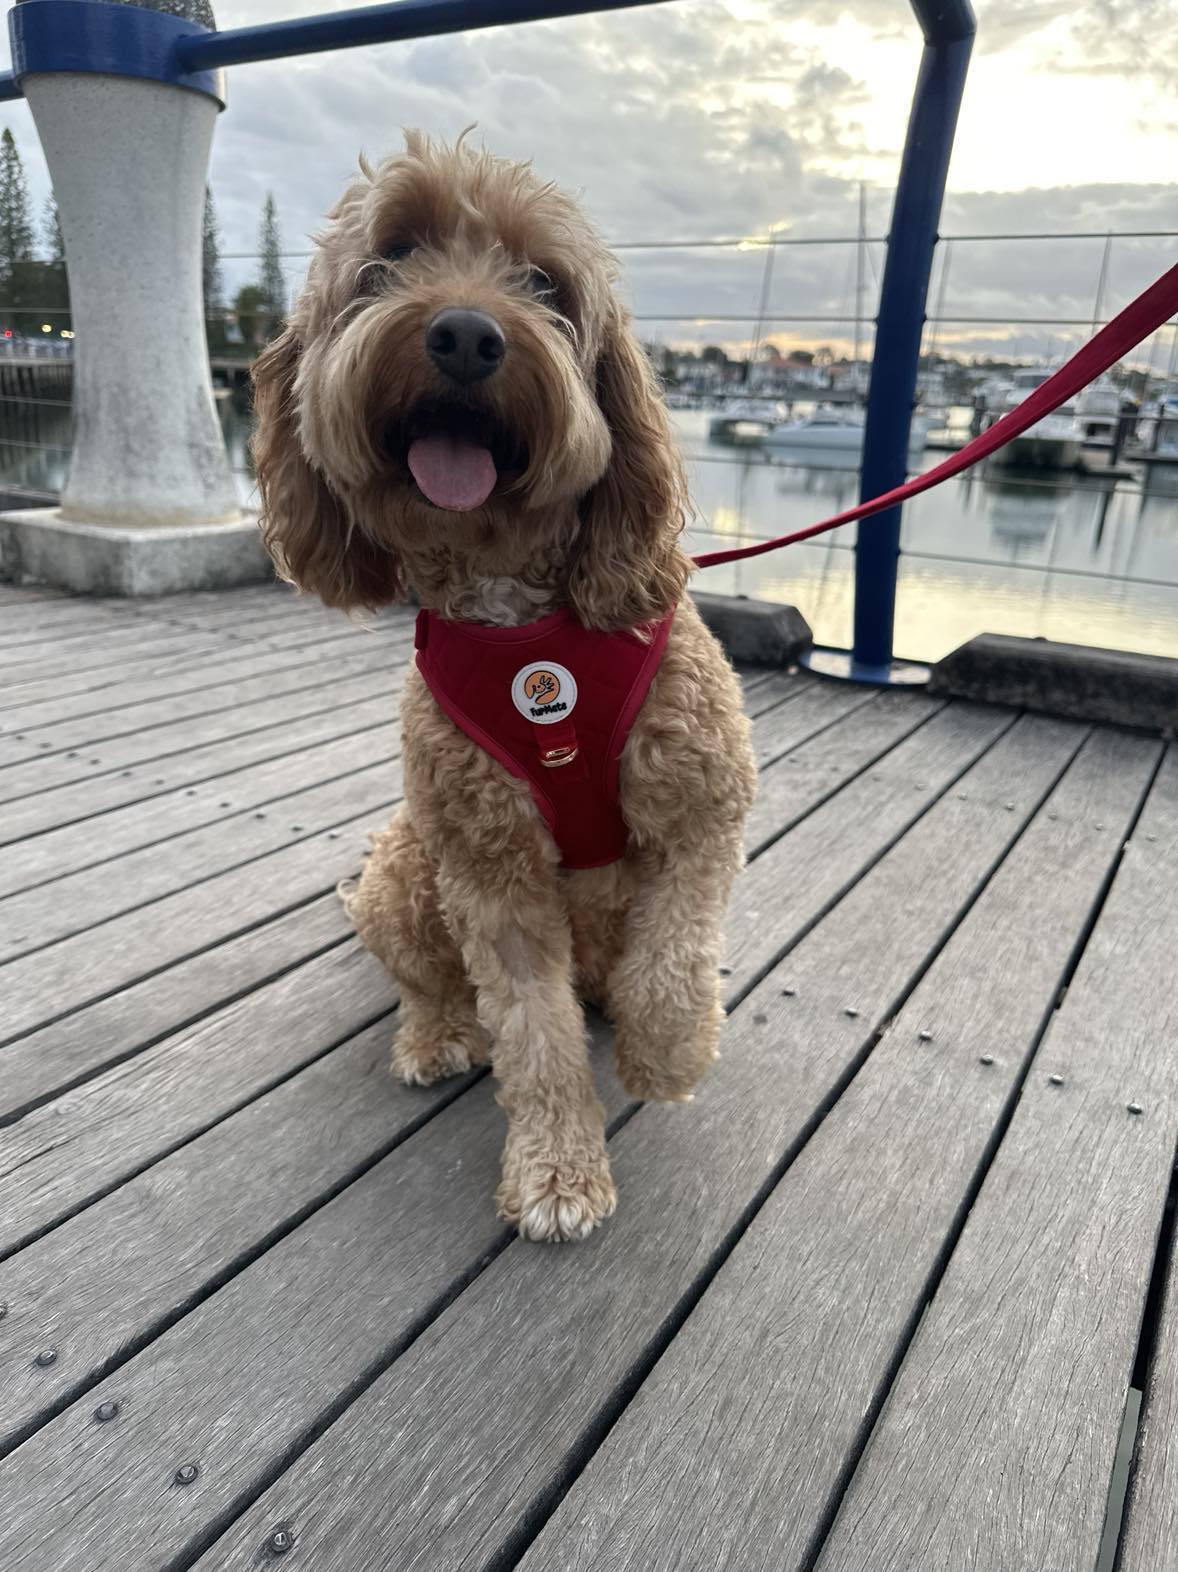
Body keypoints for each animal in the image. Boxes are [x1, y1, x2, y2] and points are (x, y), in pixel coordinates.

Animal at [253, 132, 758, 1238]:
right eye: (391, 255)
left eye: (544, 284)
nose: (465, 335)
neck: (525, 622)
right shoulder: (491, 878)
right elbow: (533, 1036)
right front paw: (559, 1175)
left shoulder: (701, 809)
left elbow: (673, 962)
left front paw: (666, 1057)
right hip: (404, 866)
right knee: (426, 985)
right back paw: (434, 1037)